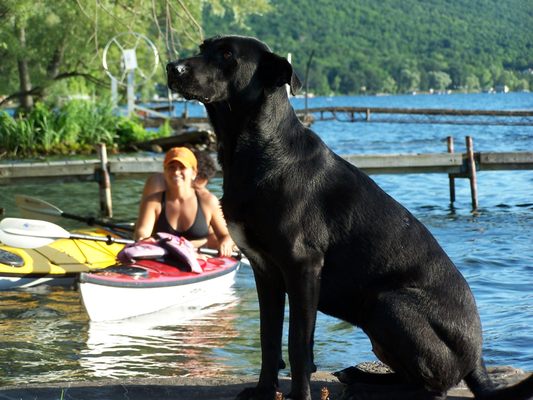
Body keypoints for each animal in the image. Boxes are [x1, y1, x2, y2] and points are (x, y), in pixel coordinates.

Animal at [167, 35, 532, 400]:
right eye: (202, 47)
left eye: (227, 54)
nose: (172, 67)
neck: (257, 149)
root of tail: (477, 361)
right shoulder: (265, 271)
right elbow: (268, 340)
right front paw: (263, 392)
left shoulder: (303, 266)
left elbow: (298, 345)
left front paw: (300, 395)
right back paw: (360, 376)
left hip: (388, 304)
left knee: (433, 388)